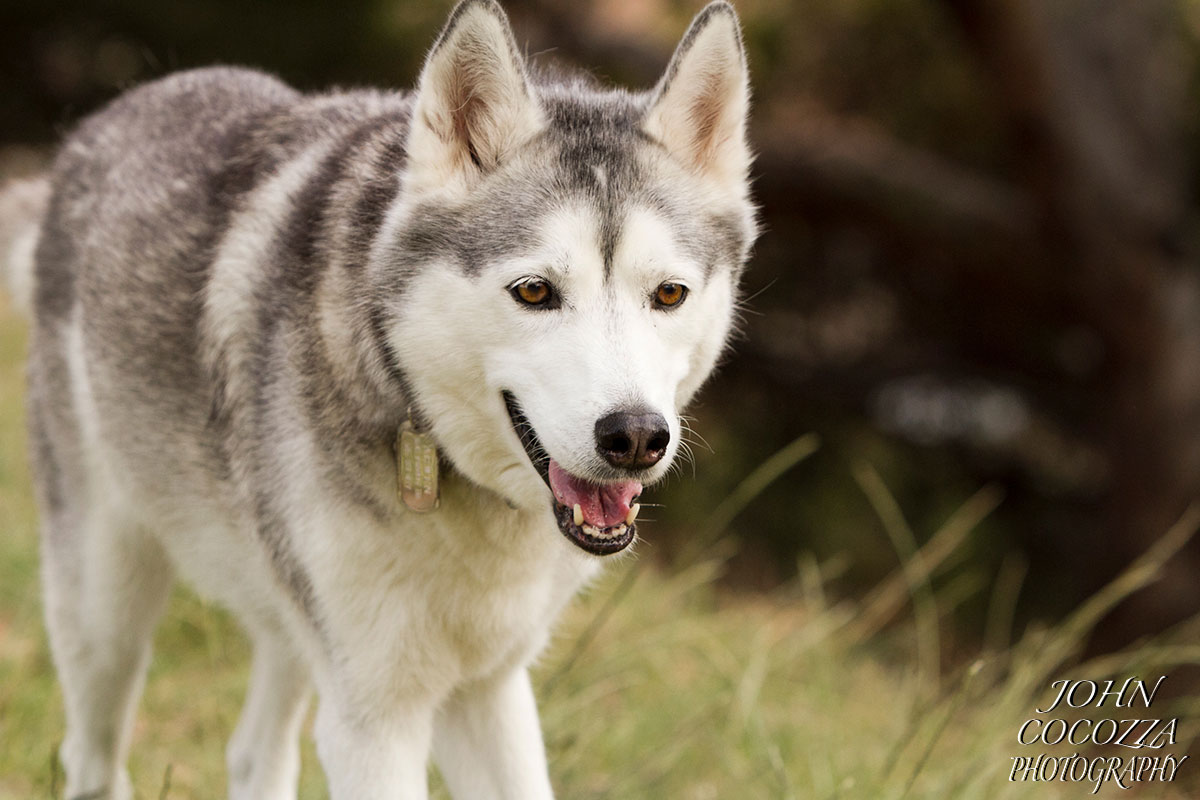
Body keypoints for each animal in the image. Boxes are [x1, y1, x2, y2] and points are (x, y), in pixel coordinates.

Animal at [0, 3, 748, 796]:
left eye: (668, 294)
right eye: (535, 291)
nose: (635, 436)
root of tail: (101, 122)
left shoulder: (487, 690)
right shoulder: (374, 720)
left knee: (254, 752)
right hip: (107, 611)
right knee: (91, 757)